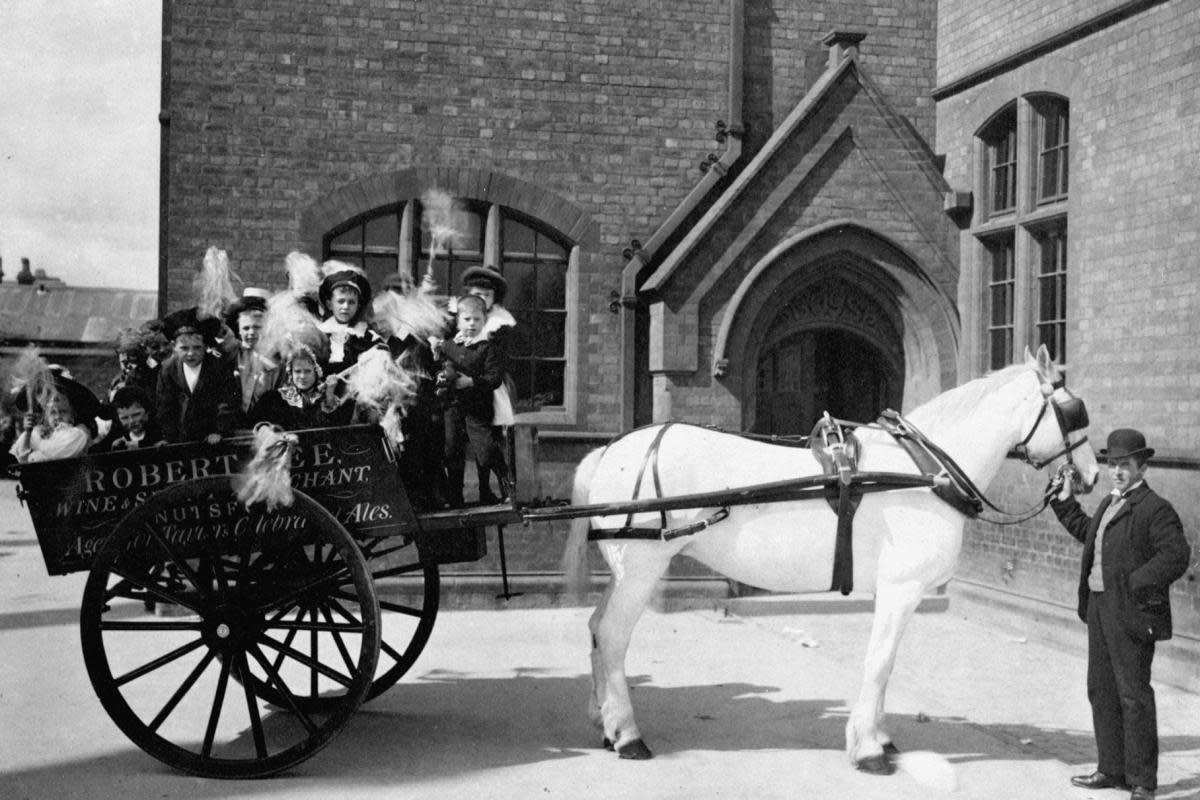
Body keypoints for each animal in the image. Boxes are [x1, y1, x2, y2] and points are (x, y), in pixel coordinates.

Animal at [559, 347, 1099, 772]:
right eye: (1073, 411)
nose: (1092, 476)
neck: (924, 470)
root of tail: (611, 451)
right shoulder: (902, 589)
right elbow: (880, 661)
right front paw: (868, 750)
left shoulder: (890, 590)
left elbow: (884, 664)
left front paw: (879, 736)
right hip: (641, 569)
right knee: (612, 636)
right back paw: (627, 735)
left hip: (626, 571)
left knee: (596, 627)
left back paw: (604, 722)